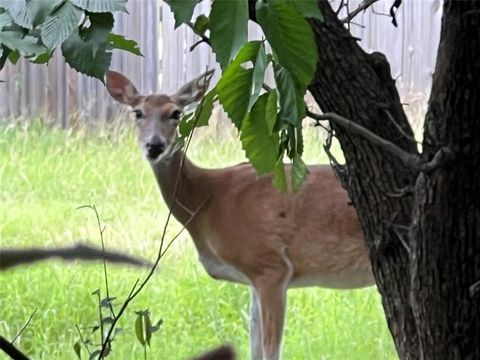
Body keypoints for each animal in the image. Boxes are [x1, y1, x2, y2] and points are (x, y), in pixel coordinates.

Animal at [106, 70, 376, 360]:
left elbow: (270, 350)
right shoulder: (253, 279)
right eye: (138, 112)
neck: (207, 201)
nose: (154, 146)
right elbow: (253, 346)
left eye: (175, 113)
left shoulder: (270, 265)